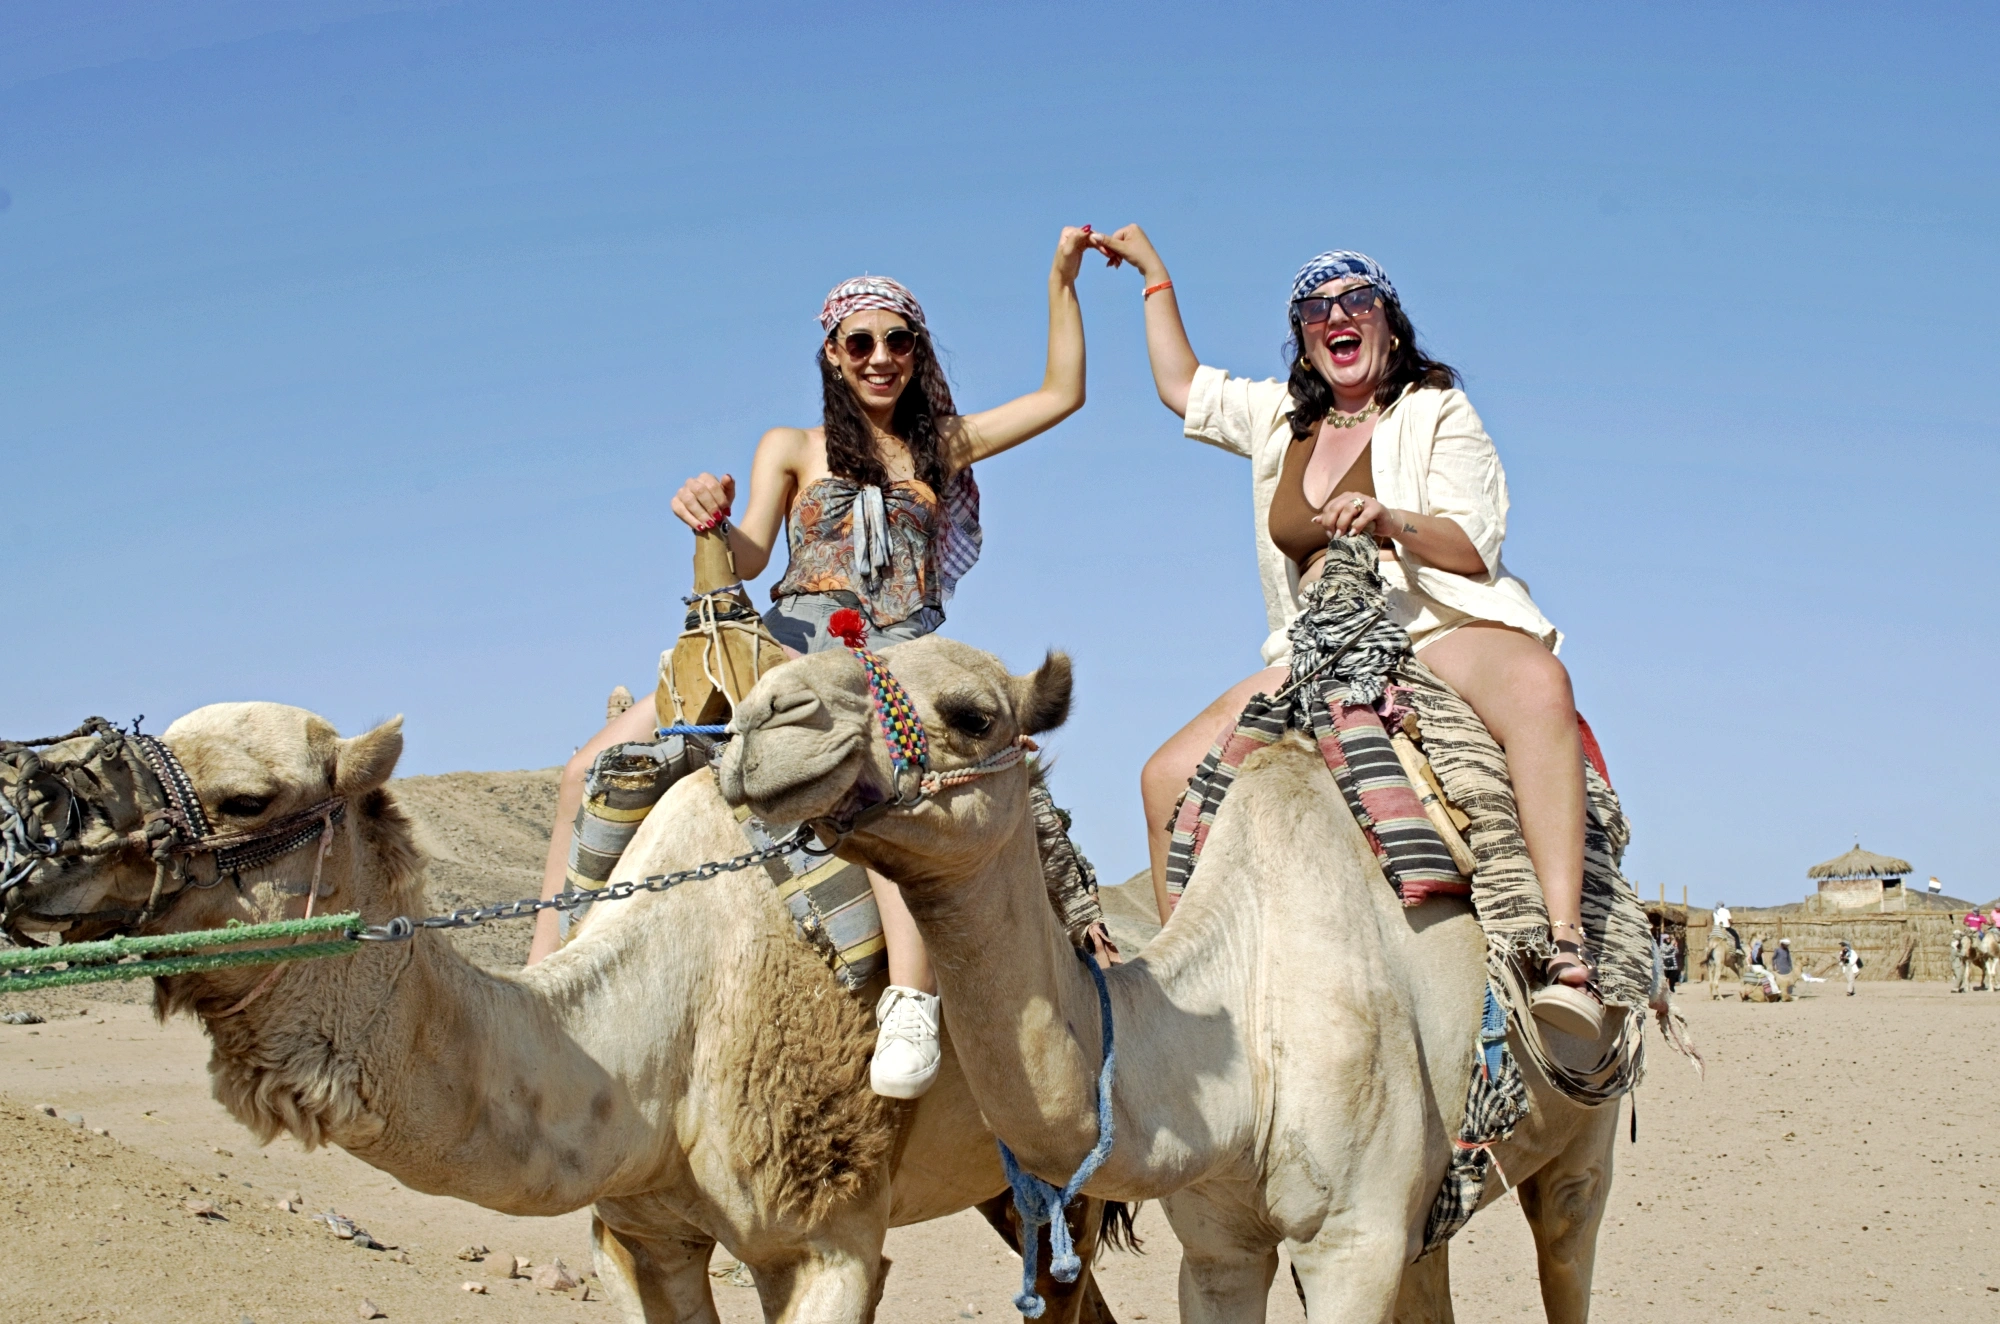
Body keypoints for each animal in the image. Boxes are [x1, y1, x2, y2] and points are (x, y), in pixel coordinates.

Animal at [719, 636, 1639, 1324]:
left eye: (971, 715)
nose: (765, 716)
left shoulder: (1352, 1241)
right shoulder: (1218, 1248)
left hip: (1580, 1139)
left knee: (1569, 1238)